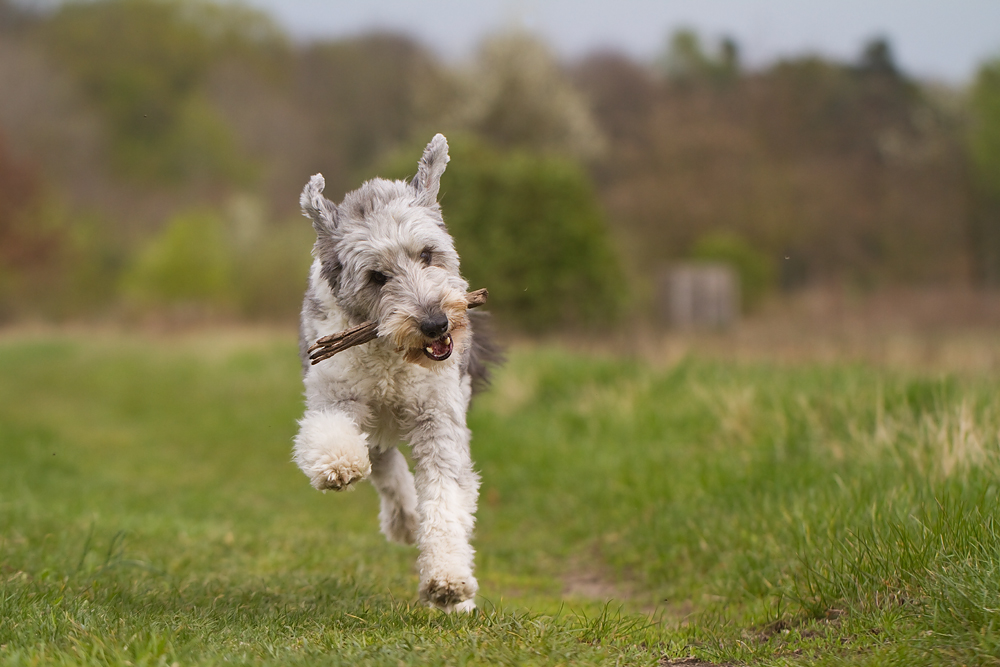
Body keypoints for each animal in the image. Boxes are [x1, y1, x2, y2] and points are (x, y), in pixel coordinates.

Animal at [292, 133, 496, 612]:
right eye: (376, 277)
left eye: (427, 254)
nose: (435, 324)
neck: (392, 354)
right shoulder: (336, 394)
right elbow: (330, 436)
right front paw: (339, 464)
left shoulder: (439, 417)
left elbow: (447, 496)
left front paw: (449, 583)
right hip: (373, 427)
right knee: (387, 469)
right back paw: (403, 518)